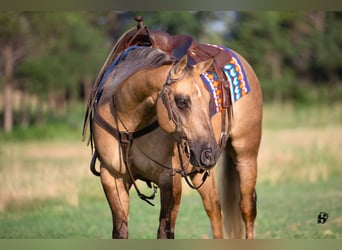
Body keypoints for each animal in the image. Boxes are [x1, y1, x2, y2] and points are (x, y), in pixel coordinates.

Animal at [84, 19, 264, 238]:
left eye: (209, 100)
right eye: (181, 101)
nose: (209, 153)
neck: (129, 124)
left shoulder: (169, 180)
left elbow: (165, 231)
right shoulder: (112, 178)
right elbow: (120, 230)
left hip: (245, 156)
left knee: (247, 207)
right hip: (199, 169)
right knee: (214, 207)